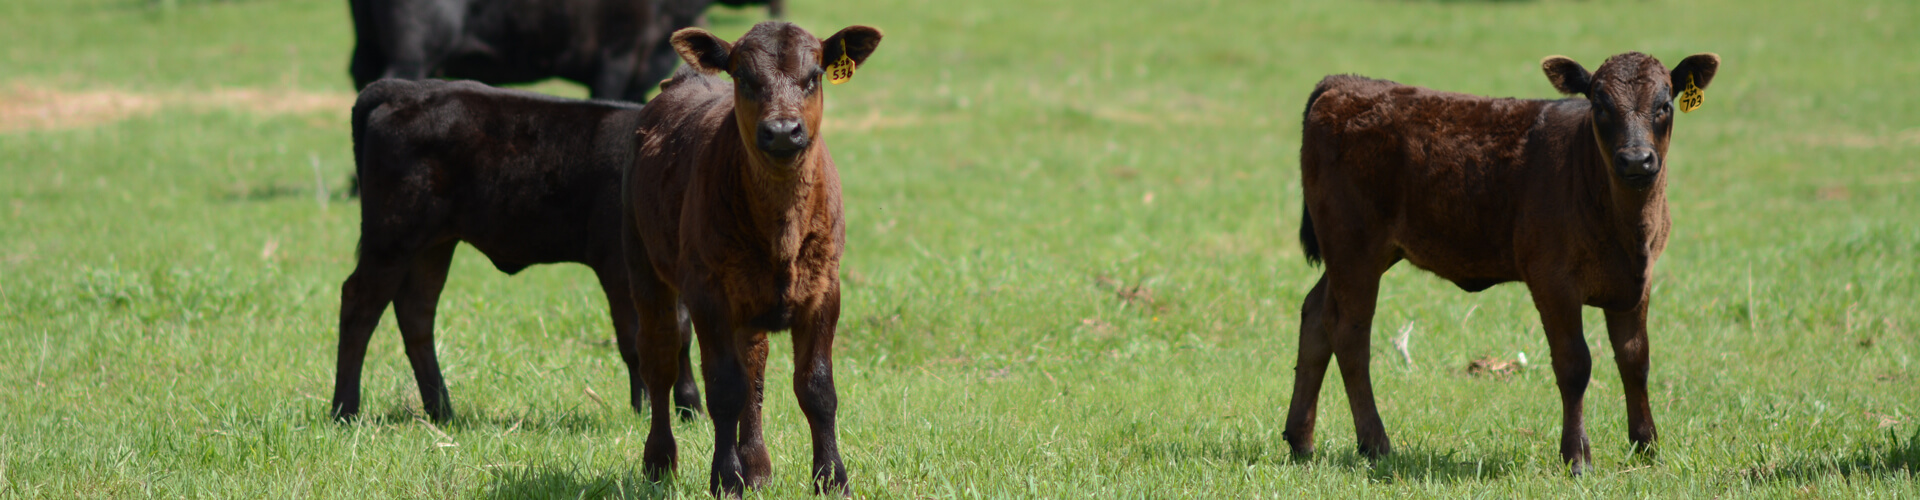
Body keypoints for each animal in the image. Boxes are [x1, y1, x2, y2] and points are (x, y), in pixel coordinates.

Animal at [333, 78, 705, 423]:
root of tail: (403, 88)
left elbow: (681, 333)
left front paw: (690, 408)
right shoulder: (617, 266)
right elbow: (636, 339)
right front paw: (646, 412)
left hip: (434, 243)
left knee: (416, 312)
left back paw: (442, 412)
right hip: (392, 234)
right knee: (359, 305)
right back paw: (345, 410)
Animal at [620, 22, 881, 496]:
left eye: (814, 75)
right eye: (742, 76)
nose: (781, 130)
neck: (781, 232)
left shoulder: (824, 290)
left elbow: (816, 388)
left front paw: (831, 478)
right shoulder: (708, 293)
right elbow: (724, 388)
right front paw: (726, 478)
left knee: (754, 364)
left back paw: (757, 464)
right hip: (643, 264)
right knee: (659, 356)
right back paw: (660, 461)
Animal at [1284, 52, 1720, 475]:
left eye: (1664, 105)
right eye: (1600, 105)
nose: (1635, 160)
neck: (1625, 228)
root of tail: (1346, 83)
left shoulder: (1636, 282)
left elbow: (1635, 360)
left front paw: (1647, 447)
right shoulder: (1552, 280)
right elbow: (1574, 365)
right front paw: (1577, 457)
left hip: (1362, 253)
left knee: (1317, 314)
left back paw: (1301, 441)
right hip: (1353, 244)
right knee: (1350, 334)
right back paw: (1374, 443)